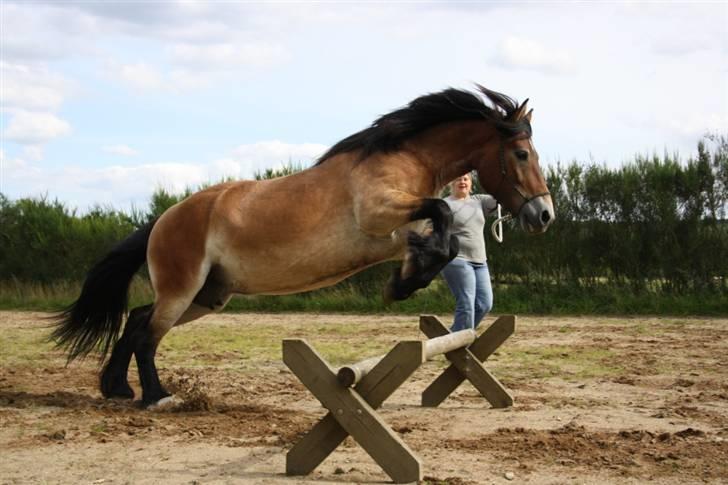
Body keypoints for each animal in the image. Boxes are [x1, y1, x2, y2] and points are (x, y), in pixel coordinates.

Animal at [52, 85, 552, 406]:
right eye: (521, 155)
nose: (544, 215)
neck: (405, 157)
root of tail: (163, 218)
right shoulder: (381, 212)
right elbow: (444, 215)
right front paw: (400, 285)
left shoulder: (395, 233)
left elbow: (440, 243)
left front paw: (404, 280)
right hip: (182, 289)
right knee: (146, 333)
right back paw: (156, 397)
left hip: (208, 295)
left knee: (138, 320)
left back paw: (118, 389)